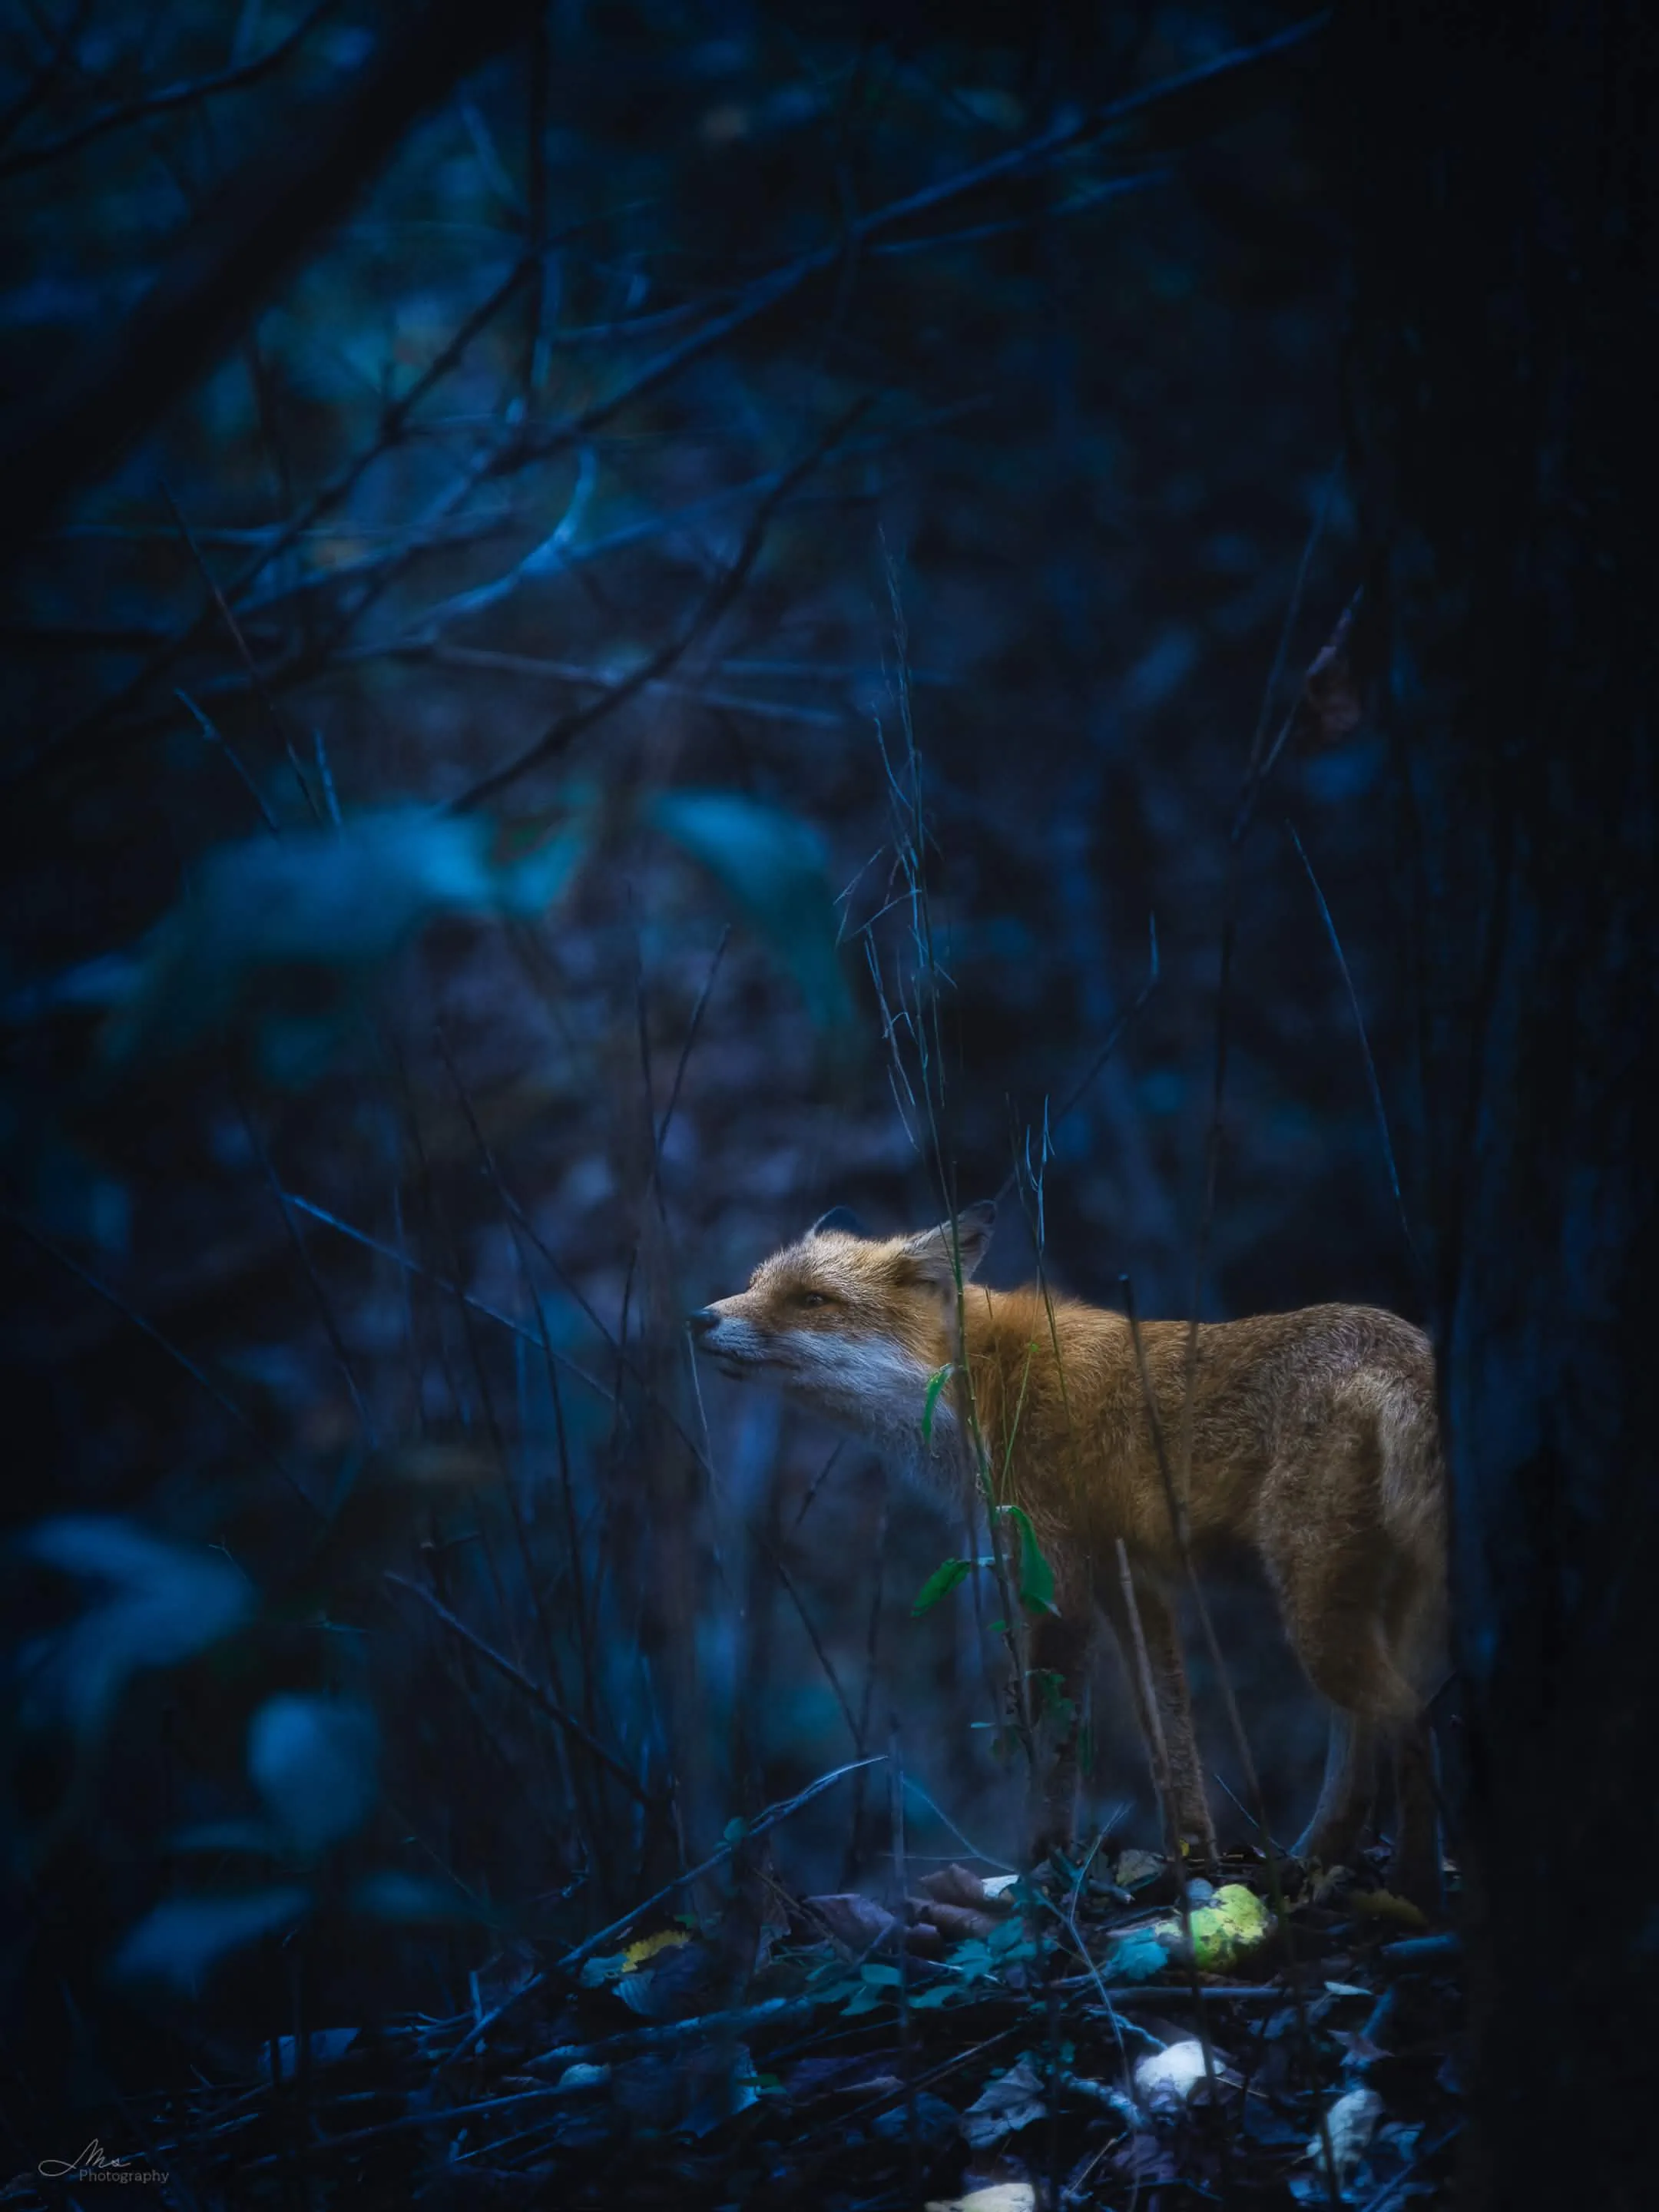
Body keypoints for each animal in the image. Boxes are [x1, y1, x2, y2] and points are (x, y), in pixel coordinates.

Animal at [692, 1199, 1447, 1905]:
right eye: (755, 1284)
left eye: (811, 1300)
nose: (698, 1318)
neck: (982, 1381)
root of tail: (1408, 1345)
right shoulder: (1128, 1580)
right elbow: (1170, 1737)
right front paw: (1193, 1861)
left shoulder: (1054, 1581)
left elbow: (1053, 1750)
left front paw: (1044, 1872)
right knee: (1368, 1747)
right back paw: (1316, 1864)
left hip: (1313, 1608)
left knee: (1413, 1718)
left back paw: (1411, 1886)